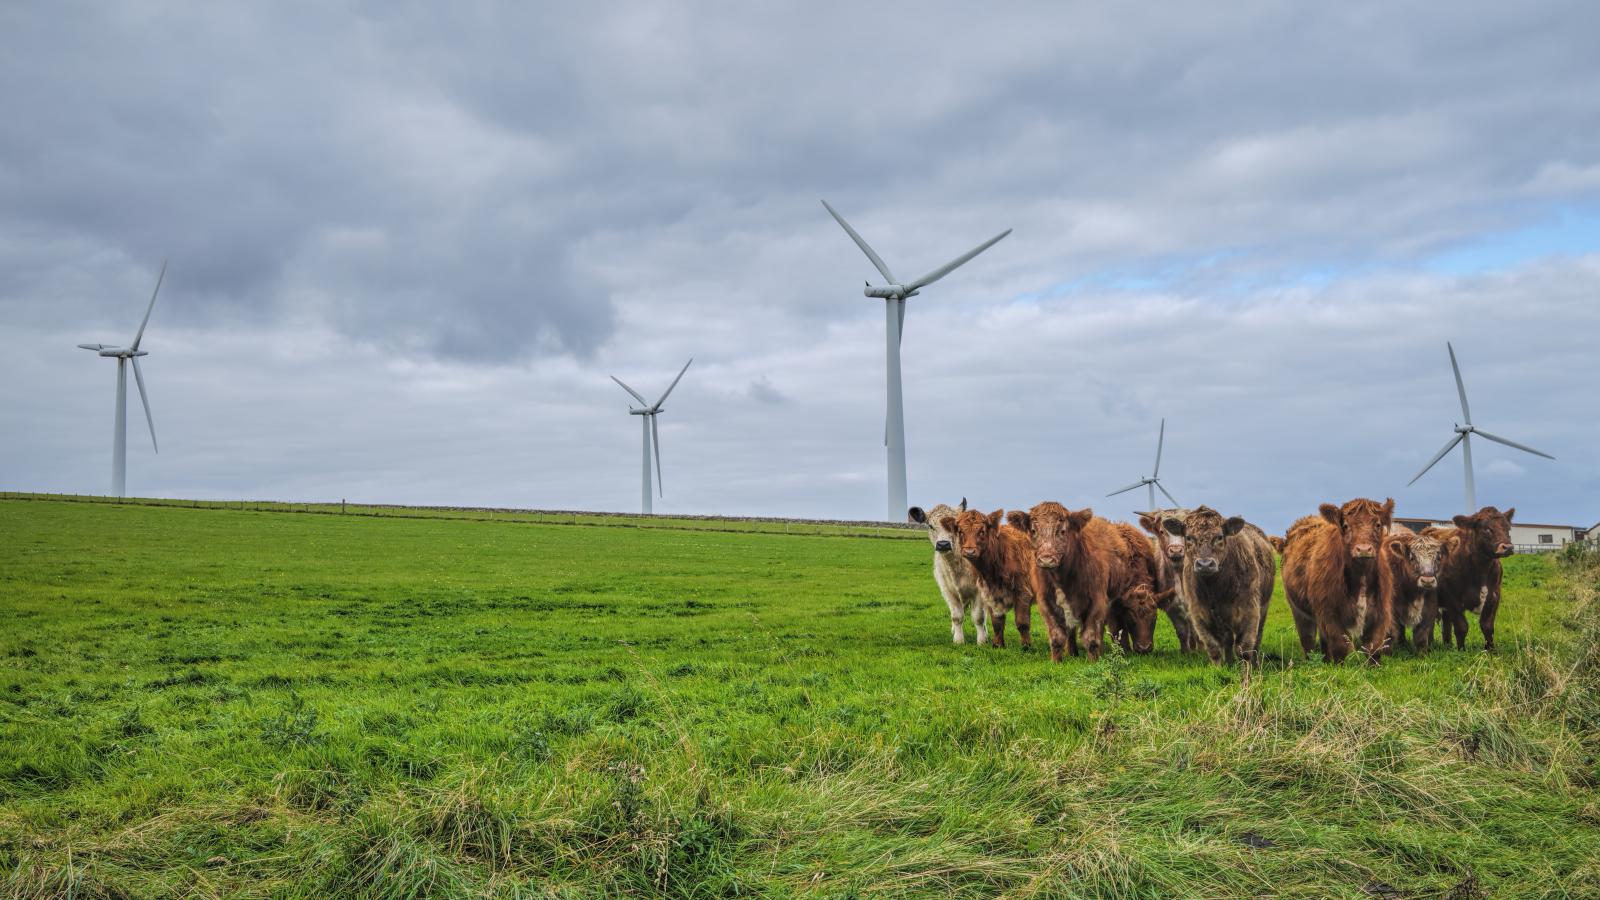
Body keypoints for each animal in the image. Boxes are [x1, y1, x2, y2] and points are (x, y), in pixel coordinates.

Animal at [915, 496, 985, 637]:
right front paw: (958, 639)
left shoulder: (979, 592)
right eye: (930, 525)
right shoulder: (948, 591)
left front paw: (982, 639)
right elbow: (957, 616)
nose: (943, 544)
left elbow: (979, 618)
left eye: (955, 525)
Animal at [940, 509, 1043, 646]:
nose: (969, 551)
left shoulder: (1023, 592)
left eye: (982, 531)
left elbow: (1022, 622)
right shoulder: (990, 594)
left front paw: (1026, 645)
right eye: (961, 531)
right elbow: (997, 622)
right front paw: (998, 644)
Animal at [1164, 506, 1273, 666]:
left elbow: (1244, 649)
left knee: (1256, 639)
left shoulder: (1250, 611)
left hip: (1263, 607)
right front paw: (1219, 668)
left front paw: (1247, 670)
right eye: (1188, 537)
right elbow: (1214, 647)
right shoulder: (1199, 614)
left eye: (1220, 537)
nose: (1204, 564)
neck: (1215, 590)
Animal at [1280, 493, 1395, 662]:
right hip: (1298, 609)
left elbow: (1373, 648)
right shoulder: (1329, 613)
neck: (1361, 577)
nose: (1363, 549)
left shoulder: (1380, 612)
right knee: (1307, 639)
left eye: (1378, 524)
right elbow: (1341, 647)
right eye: (1346, 525)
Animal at [1427, 506, 1510, 643]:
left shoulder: (1494, 595)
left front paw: (1491, 648)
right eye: (1487, 529)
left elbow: (1487, 627)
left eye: (1508, 528)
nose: (1508, 547)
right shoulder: (1452, 598)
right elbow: (1461, 627)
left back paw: (1447, 644)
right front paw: (1461, 648)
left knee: (1446, 623)